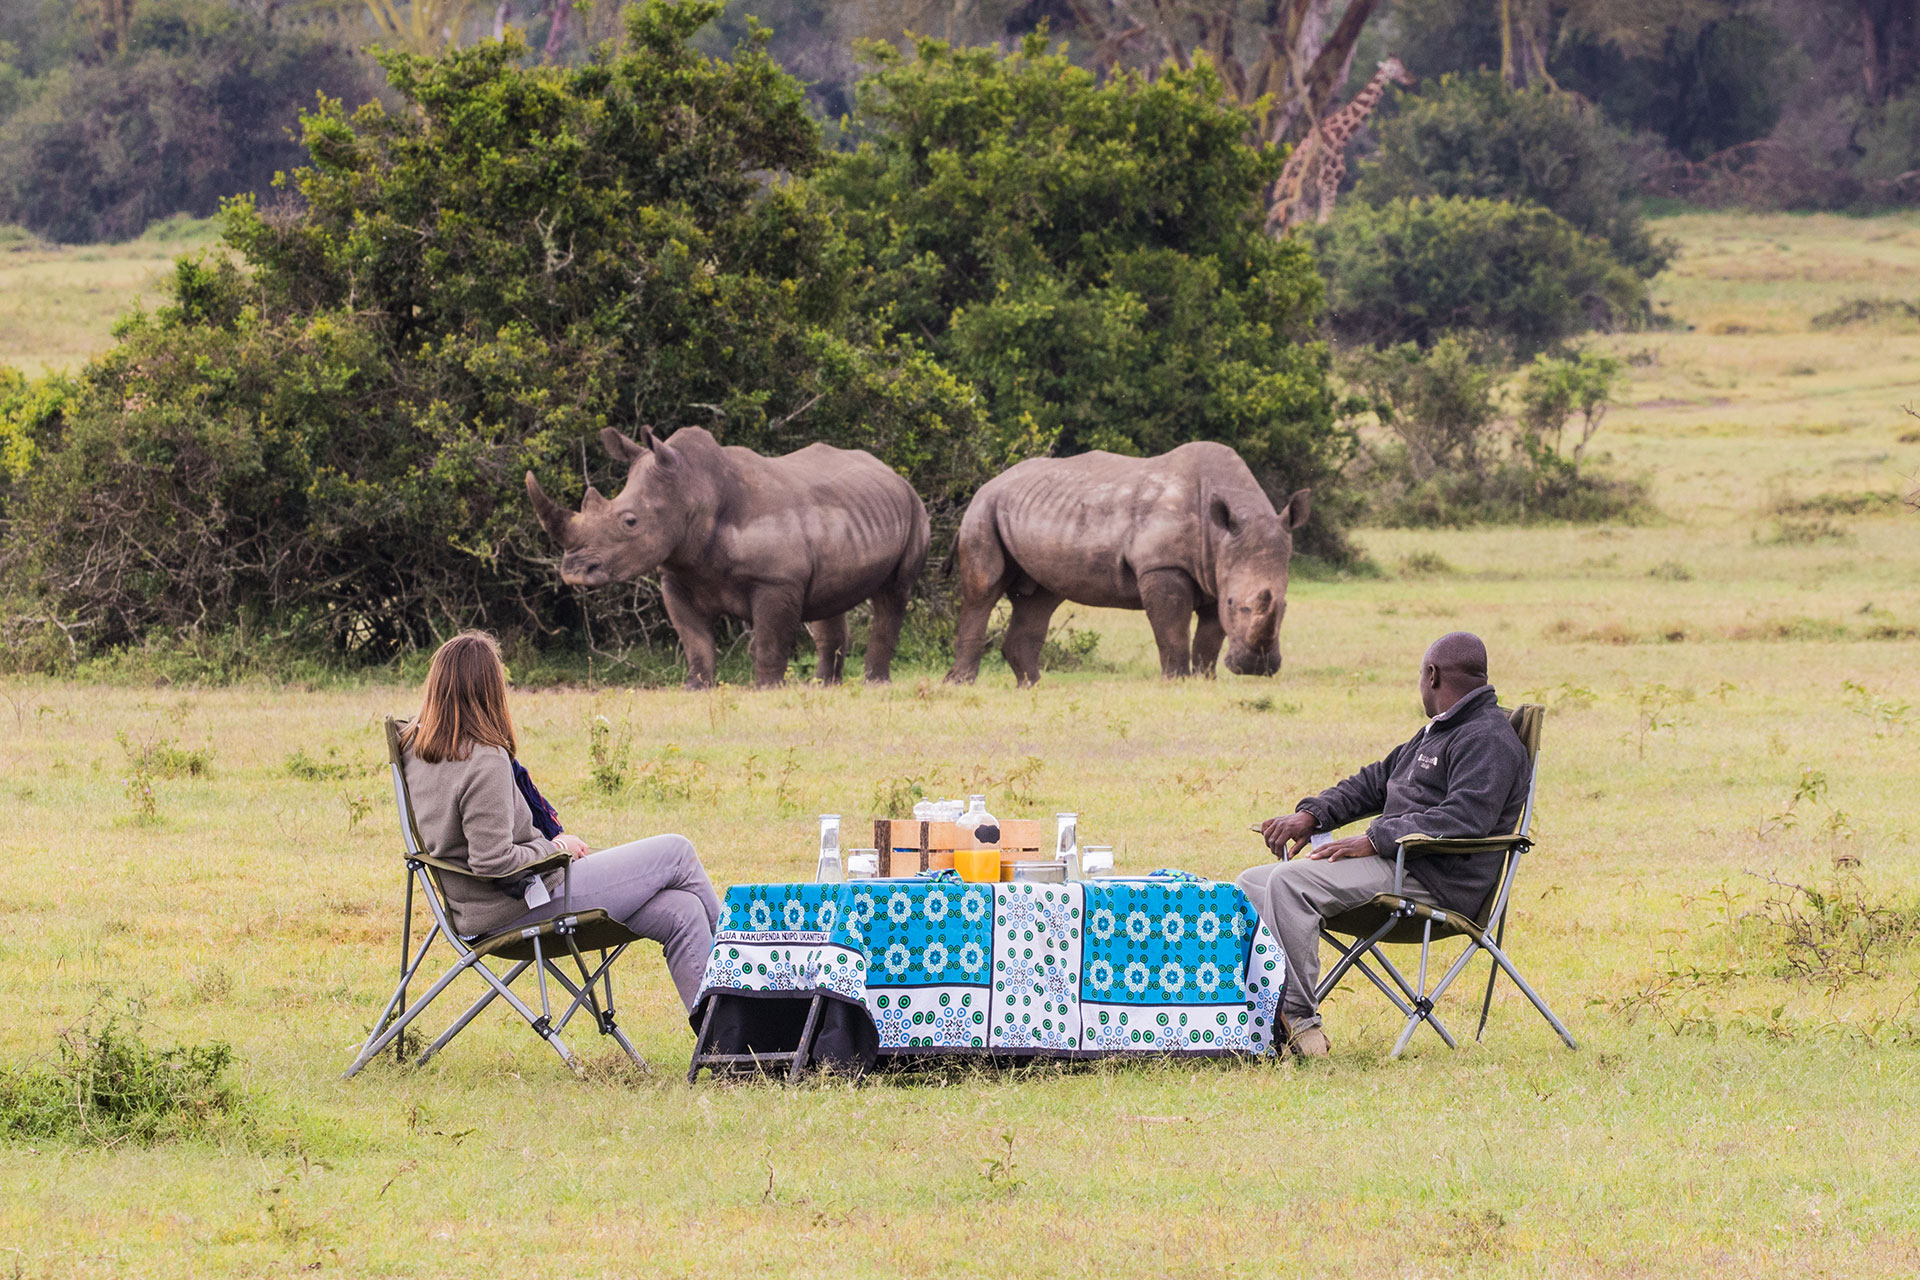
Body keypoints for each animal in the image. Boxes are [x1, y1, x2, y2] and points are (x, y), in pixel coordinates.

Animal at [1267, 55, 1420, 237]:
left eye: (1402, 66)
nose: (1411, 79)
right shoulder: (1330, 181)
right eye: (1397, 69)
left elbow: (1319, 222)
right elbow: (1324, 222)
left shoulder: (1322, 185)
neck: (1341, 134)